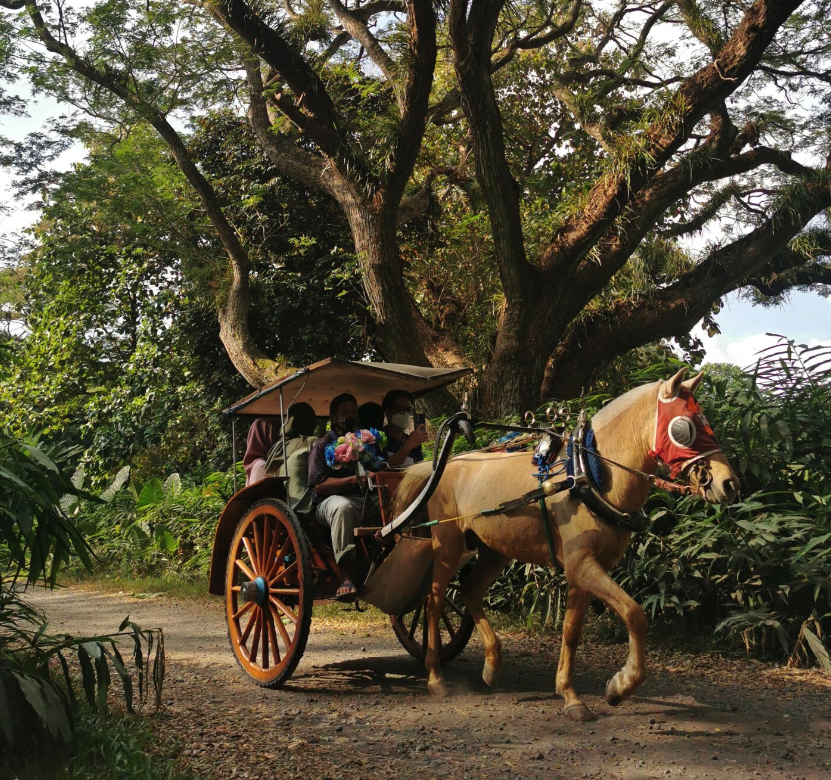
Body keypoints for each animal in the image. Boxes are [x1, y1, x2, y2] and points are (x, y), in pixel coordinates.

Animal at [396, 368, 740, 724]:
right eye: (683, 427)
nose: (728, 483)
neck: (589, 475)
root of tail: (443, 465)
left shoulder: (584, 570)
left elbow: (571, 632)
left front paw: (570, 694)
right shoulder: (581, 565)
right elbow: (634, 614)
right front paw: (621, 686)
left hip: (494, 551)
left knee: (469, 592)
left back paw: (491, 665)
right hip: (447, 545)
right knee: (434, 602)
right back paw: (435, 676)